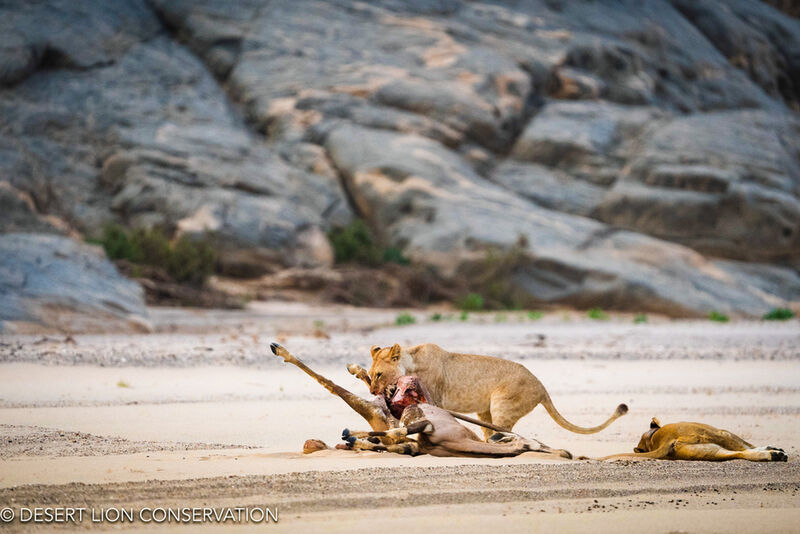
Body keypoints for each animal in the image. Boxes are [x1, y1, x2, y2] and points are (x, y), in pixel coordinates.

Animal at [366, 346, 628, 442]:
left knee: (504, 431)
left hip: (502, 404)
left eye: (379, 374)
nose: (371, 390)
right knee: (492, 431)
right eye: (371, 374)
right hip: (485, 410)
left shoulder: (434, 398)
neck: (411, 363)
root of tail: (541, 385)